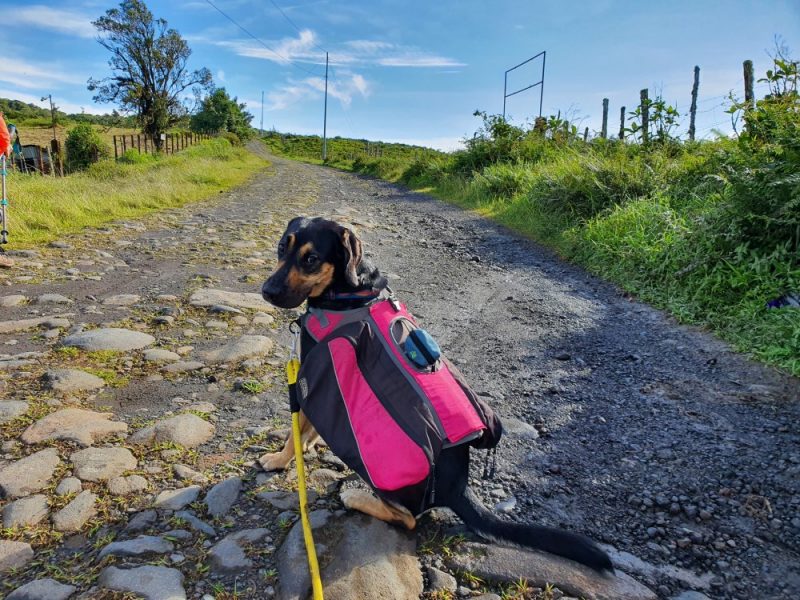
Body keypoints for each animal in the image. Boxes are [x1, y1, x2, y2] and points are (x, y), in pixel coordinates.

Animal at [258, 216, 612, 572]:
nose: (267, 291)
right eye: (281, 247)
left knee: (408, 519)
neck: (347, 290)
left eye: (311, 259)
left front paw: (279, 458)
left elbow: (294, 432)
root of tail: (458, 487)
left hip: (389, 483)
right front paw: (309, 443)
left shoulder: (310, 373)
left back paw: (356, 496)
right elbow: (310, 427)